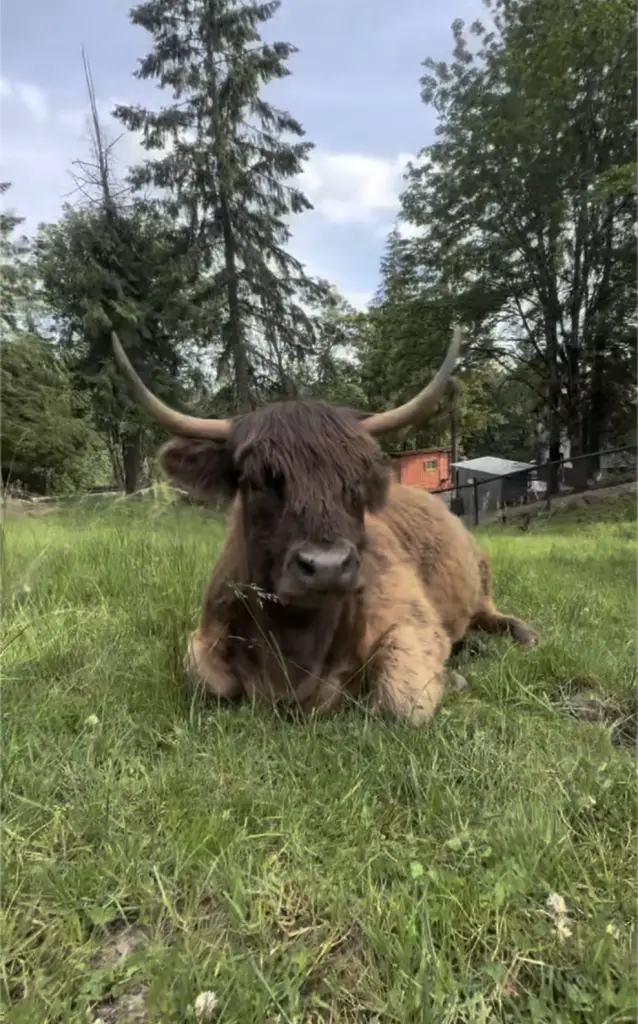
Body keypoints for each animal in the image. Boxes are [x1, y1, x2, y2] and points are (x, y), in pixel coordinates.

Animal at [112, 329, 538, 724]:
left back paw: (522, 636)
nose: (327, 567)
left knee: (492, 616)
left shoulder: (412, 623)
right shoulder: (204, 637)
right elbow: (209, 681)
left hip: (481, 585)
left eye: (357, 480)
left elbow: (399, 705)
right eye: (254, 481)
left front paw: (449, 678)